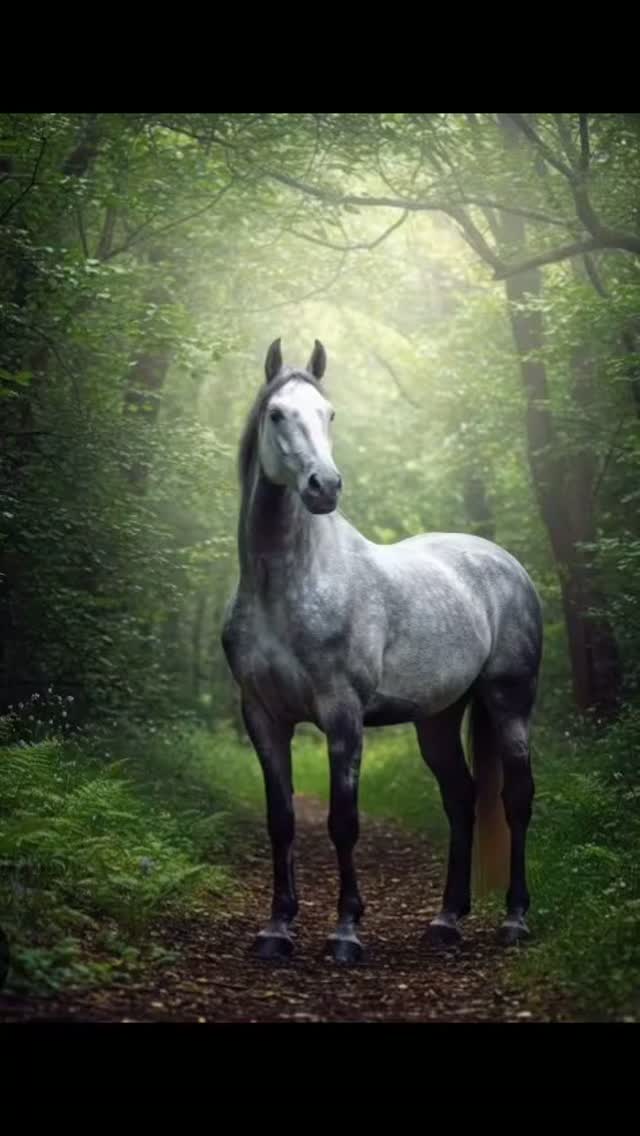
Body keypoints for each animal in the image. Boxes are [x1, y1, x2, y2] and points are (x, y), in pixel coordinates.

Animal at [221, 338, 542, 964]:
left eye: (329, 414)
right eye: (277, 414)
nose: (324, 486)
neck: (286, 586)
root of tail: (505, 563)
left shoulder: (343, 715)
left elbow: (344, 821)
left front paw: (346, 932)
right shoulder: (262, 716)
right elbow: (281, 819)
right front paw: (277, 928)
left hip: (508, 703)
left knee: (515, 797)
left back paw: (515, 919)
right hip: (438, 717)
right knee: (461, 798)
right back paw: (446, 920)